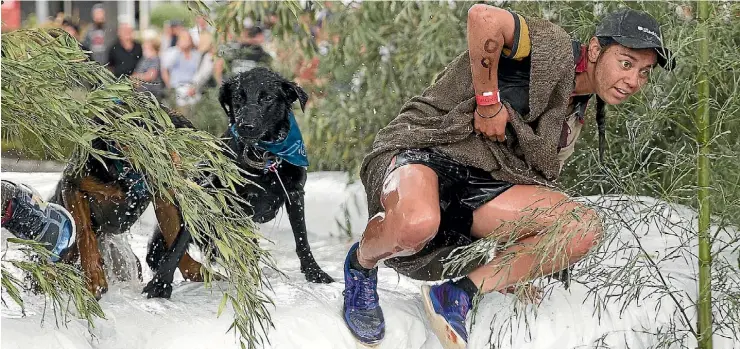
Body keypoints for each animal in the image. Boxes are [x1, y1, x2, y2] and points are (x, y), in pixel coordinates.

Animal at [147, 66, 332, 284]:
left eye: (267, 98)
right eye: (237, 98)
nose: (246, 126)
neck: (263, 157)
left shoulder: (294, 193)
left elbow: (301, 238)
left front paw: (314, 272)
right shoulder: (232, 202)